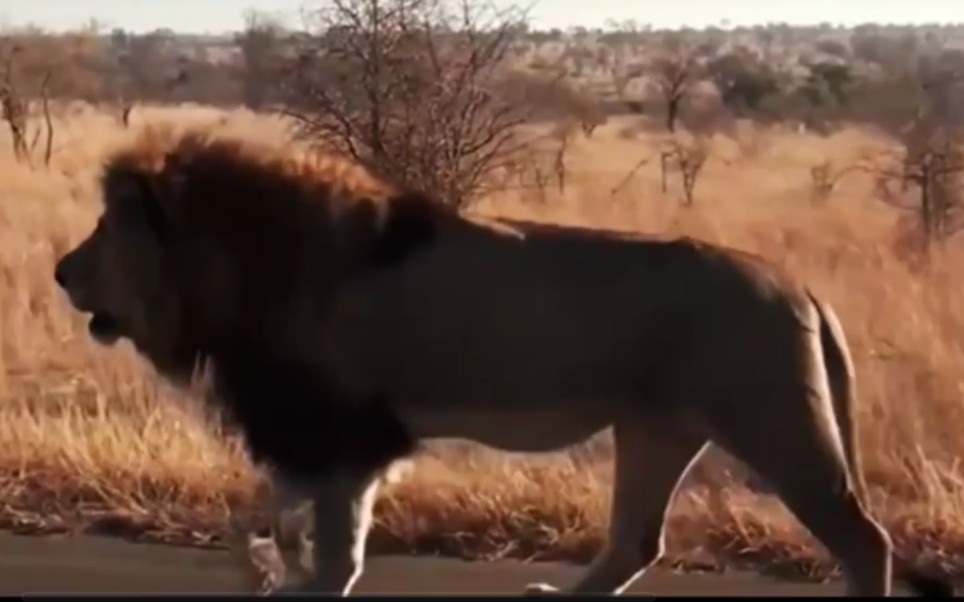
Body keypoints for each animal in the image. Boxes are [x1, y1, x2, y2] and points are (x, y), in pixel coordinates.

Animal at [56, 127, 952, 596]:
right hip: (657, 428)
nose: (62, 271)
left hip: (777, 425)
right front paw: (275, 567)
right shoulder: (321, 433)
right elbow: (267, 516)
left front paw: (293, 576)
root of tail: (801, 286)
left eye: (103, 230)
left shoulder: (341, 431)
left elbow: (323, 538)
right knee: (638, 542)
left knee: (864, 540)